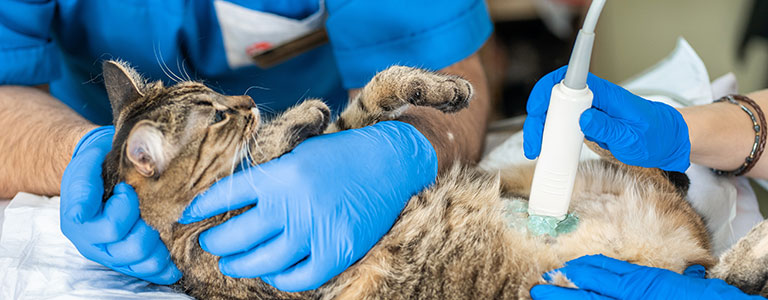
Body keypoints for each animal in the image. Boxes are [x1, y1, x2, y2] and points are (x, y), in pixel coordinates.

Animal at [97, 59, 760, 300]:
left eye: (209, 91)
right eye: (214, 114)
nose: (245, 101)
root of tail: (687, 253)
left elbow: (371, 97)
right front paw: (292, 121)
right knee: (727, 276)